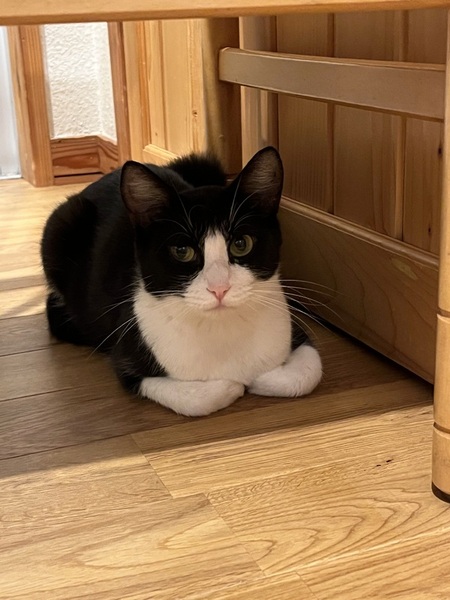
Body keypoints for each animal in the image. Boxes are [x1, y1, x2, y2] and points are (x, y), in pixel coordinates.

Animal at [41, 146, 322, 416]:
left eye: (241, 244)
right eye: (182, 251)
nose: (219, 288)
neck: (220, 330)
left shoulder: (292, 328)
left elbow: (308, 371)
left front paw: (259, 378)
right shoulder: (128, 354)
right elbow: (195, 398)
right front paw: (233, 385)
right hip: (61, 226)